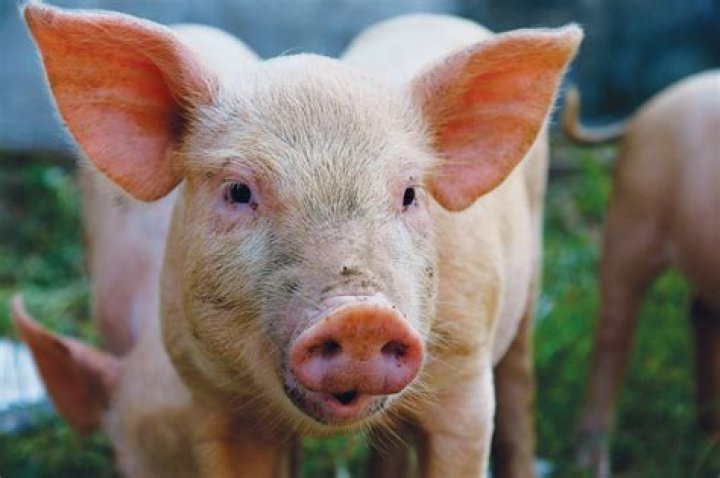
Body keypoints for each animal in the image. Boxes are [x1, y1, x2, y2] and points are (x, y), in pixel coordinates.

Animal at [563, 70, 720, 478]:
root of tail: (646, 110)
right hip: (630, 220)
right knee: (611, 340)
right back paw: (593, 465)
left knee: (700, 313)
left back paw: (710, 436)